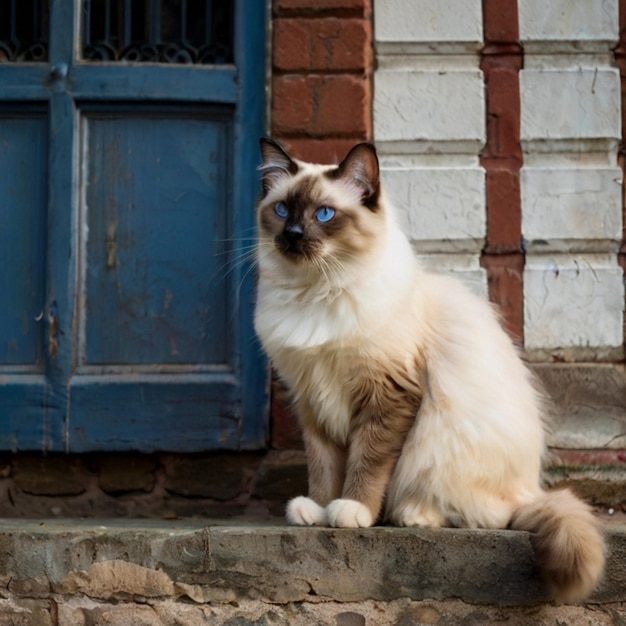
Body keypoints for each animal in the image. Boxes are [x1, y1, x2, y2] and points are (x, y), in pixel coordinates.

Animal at [251, 135, 604, 600]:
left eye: (323, 214)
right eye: (282, 210)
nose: (291, 235)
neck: (314, 293)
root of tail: (531, 489)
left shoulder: (387, 395)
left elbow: (365, 464)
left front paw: (351, 511)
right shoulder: (312, 399)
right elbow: (325, 466)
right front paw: (317, 509)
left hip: (436, 445)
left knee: (485, 516)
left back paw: (411, 514)